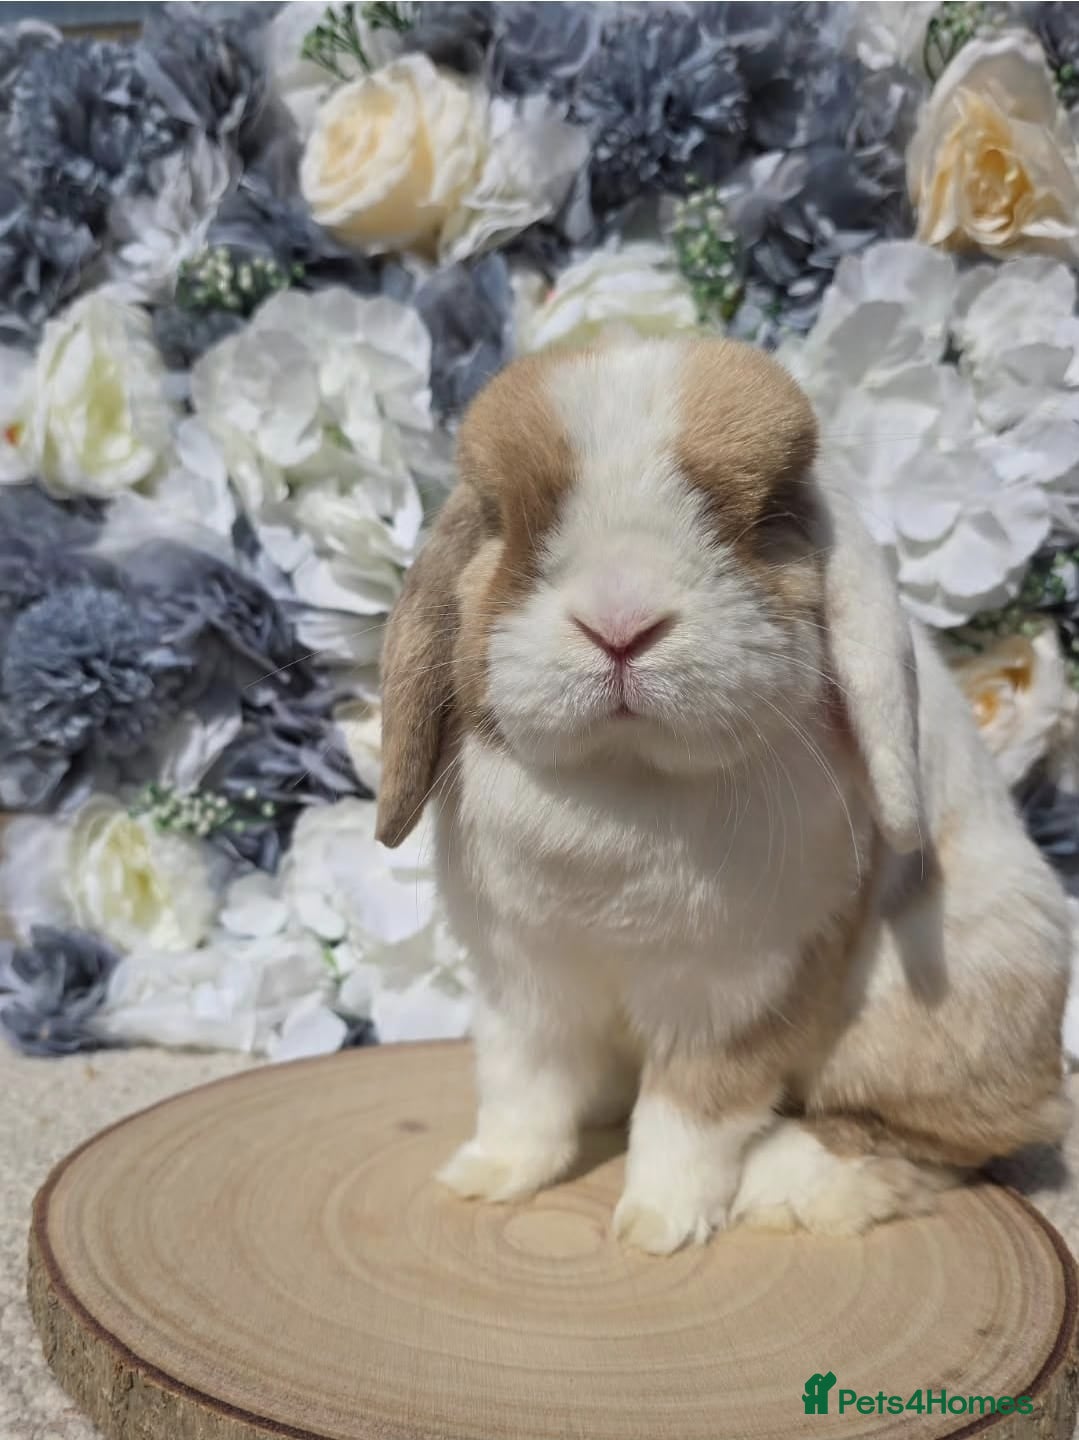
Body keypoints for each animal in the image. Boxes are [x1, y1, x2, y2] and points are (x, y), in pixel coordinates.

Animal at [374, 337, 1070, 1255]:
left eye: (765, 517)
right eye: (501, 517)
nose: (620, 624)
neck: (624, 781)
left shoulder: (738, 995)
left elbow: (690, 1113)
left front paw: (658, 1225)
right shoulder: (523, 987)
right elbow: (523, 1090)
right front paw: (488, 1176)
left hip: (945, 998)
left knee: (950, 1134)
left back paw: (791, 1184)